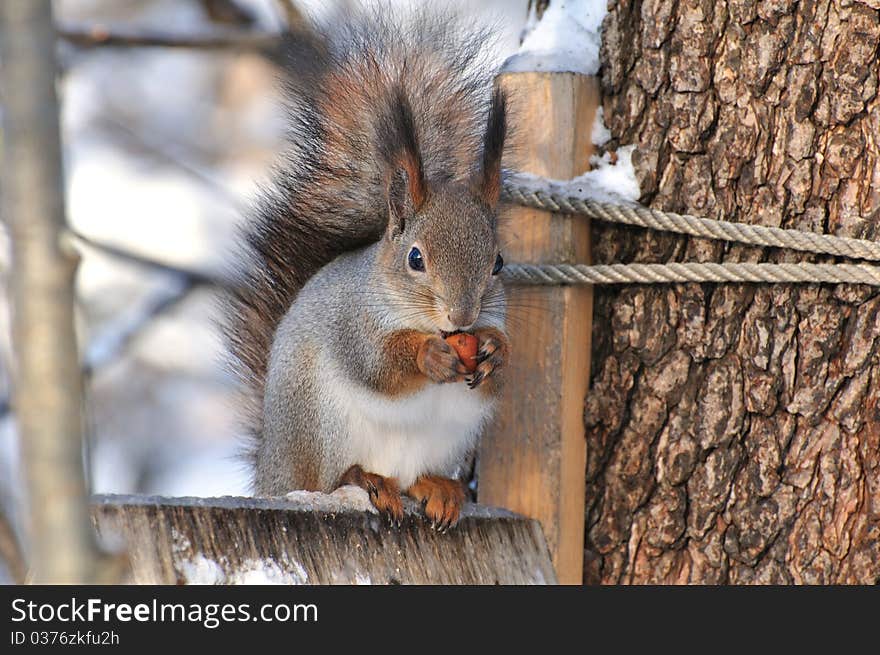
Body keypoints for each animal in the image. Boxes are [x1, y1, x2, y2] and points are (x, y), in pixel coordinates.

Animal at [223, 7, 512, 532]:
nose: (462, 318)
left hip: (447, 442)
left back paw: (438, 490)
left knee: (416, 478)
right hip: (320, 422)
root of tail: (271, 472)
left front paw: (494, 350)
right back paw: (364, 479)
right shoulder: (351, 322)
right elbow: (376, 363)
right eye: (416, 258)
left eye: (498, 262)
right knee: (331, 479)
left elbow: (499, 375)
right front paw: (428, 356)